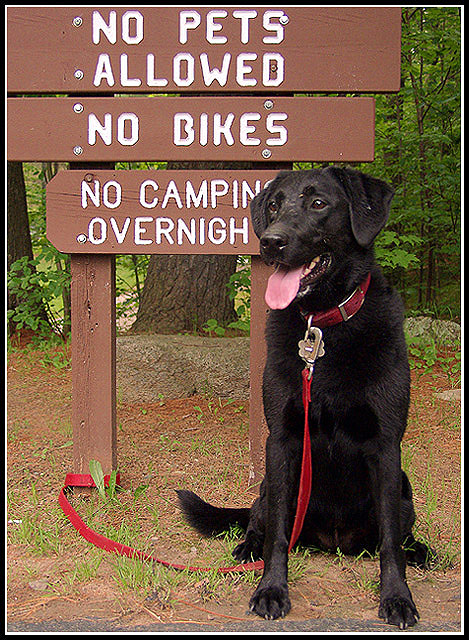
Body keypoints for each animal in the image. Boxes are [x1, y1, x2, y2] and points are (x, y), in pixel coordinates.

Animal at [178, 168, 432, 628]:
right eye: (274, 204)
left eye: (318, 204)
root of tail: (333, 542)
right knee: (258, 519)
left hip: (404, 489)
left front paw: (397, 597)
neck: (323, 327)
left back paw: (419, 551)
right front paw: (271, 589)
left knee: (399, 534)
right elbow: (278, 533)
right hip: (266, 484)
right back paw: (248, 548)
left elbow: (390, 543)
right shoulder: (282, 440)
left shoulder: (386, 446)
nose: (270, 241)